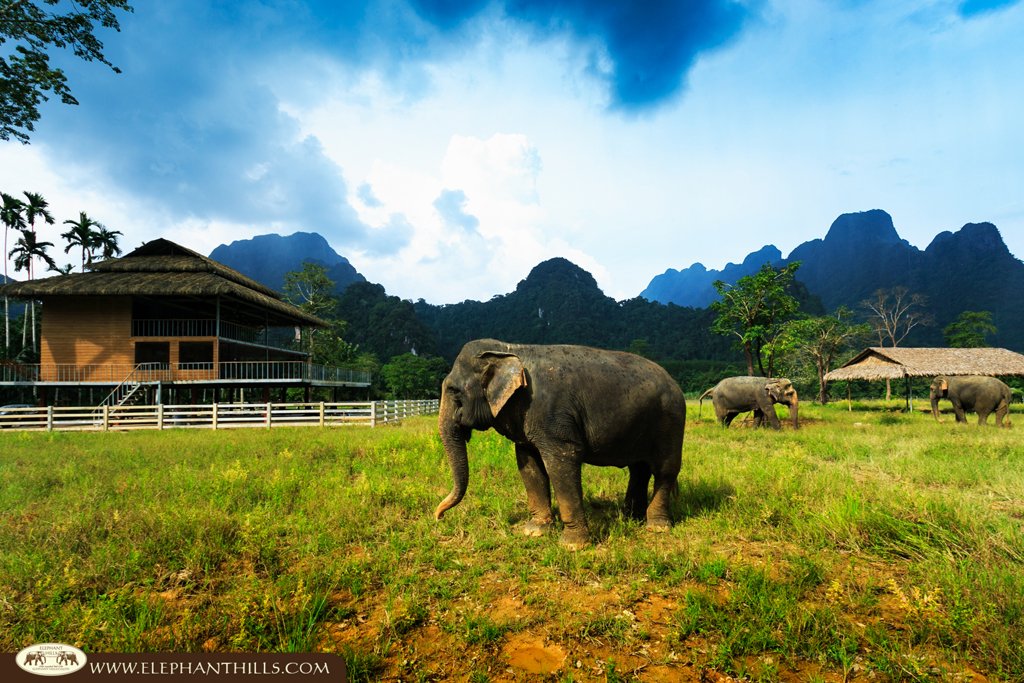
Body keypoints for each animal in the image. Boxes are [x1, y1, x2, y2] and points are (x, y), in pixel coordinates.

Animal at [434, 339, 688, 548]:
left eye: (453, 390)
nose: (439, 516)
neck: (510, 349)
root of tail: (674, 381)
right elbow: (529, 465)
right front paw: (534, 531)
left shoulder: (554, 418)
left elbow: (562, 463)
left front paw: (573, 545)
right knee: (639, 468)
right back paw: (630, 518)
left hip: (671, 421)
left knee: (664, 470)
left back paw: (656, 527)